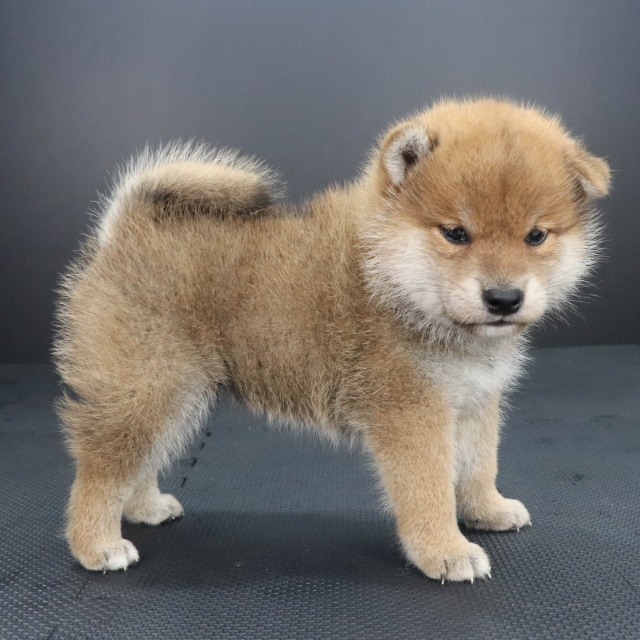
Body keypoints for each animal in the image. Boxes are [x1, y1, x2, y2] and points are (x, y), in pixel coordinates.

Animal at [54, 98, 610, 582]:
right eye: (455, 233)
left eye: (536, 236)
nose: (503, 298)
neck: (393, 281)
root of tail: (123, 235)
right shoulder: (413, 412)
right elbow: (428, 489)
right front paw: (445, 550)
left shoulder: (474, 400)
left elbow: (478, 465)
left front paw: (486, 510)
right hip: (149, 386)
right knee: (101, 470)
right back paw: (96, 545)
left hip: (175, 395)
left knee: (143, 457)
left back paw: (146, 506)